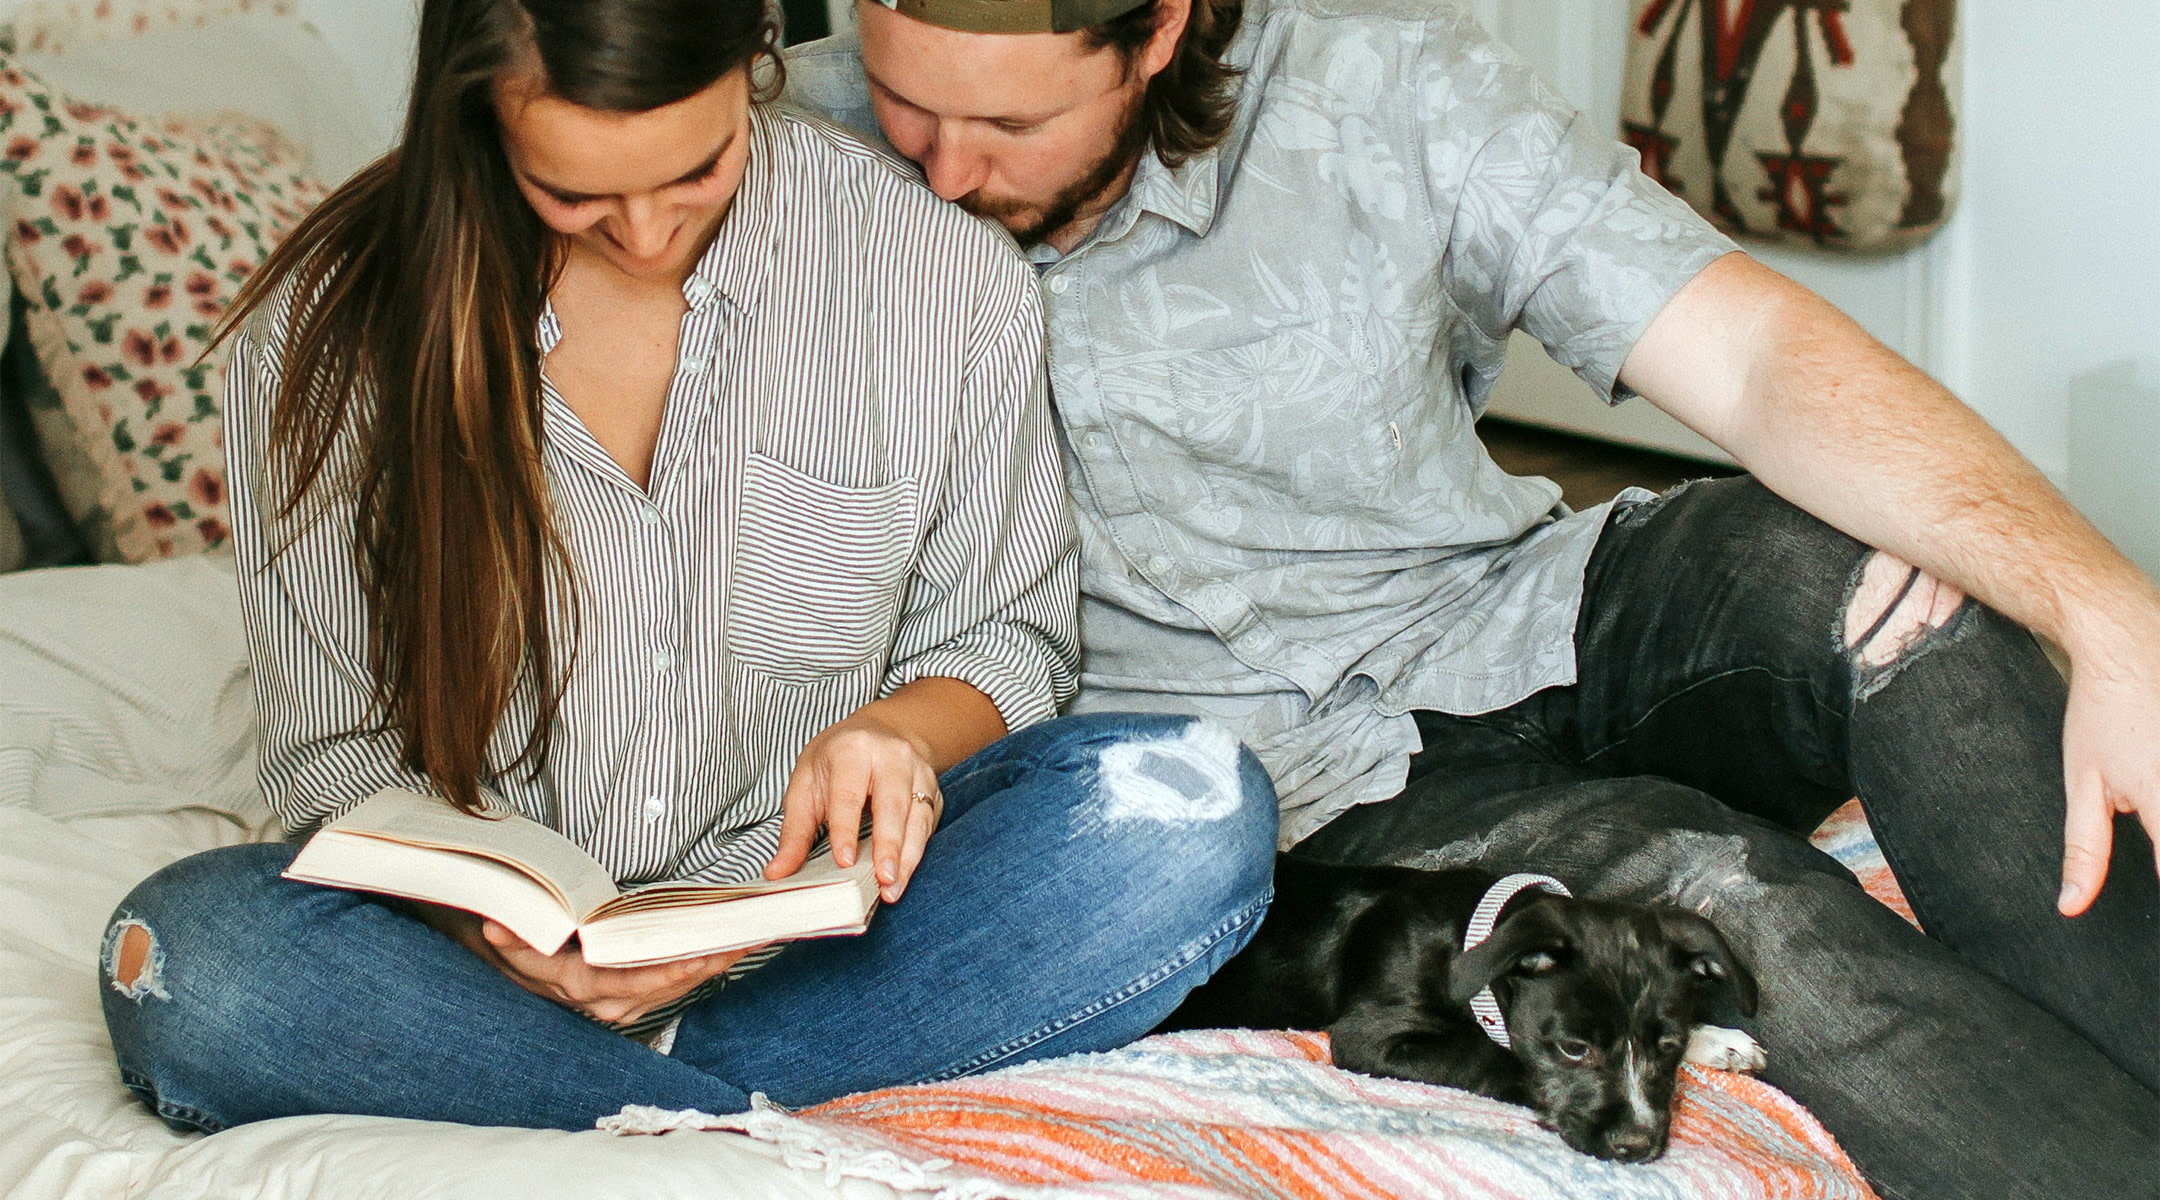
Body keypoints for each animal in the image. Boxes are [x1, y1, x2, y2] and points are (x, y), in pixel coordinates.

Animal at [1166, 854, 1753, 1165]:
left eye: (1669, 1045)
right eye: (1573, 1048)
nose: (1637, 1145)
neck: (1471, 937)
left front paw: (1716, 1038)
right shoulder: (1372, 1035)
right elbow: (1492, 1056)